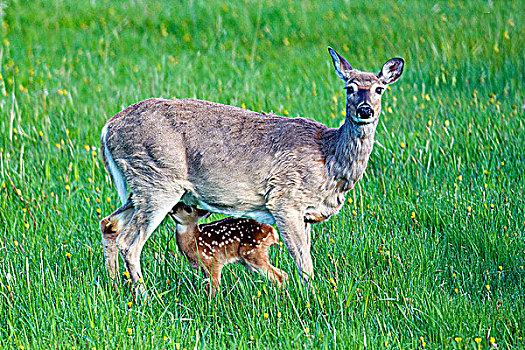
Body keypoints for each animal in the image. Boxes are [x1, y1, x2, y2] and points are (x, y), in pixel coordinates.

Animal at [98, 46, 404, 296]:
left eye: (380, 89)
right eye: (349, 88)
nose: (365, 110)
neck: (329, 161)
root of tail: (107, 128)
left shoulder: (306, 213)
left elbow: (306, 258)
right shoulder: (284, 200)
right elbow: (303, 262)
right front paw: (310, 300)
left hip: (139, 185)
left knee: (109, 224)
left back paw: (115, 287)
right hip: (158, 181)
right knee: (129, 242)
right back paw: (145, 297)